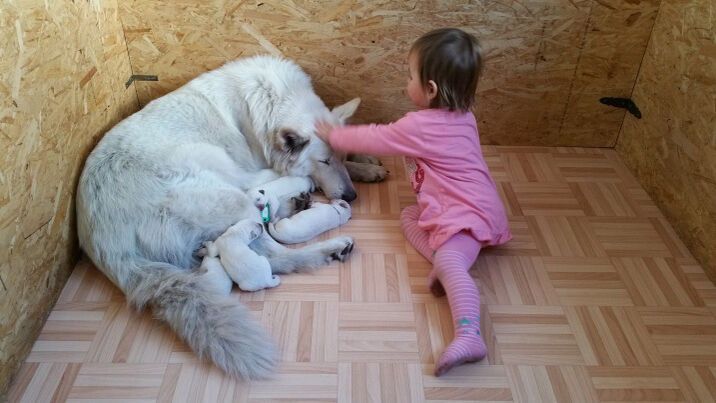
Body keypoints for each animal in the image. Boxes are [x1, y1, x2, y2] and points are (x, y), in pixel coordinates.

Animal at [77, 55, 380, 380]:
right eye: (323, 161)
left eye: (340, 156)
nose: (351, 197)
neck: (274, 102)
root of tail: (110, 248)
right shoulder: (259, 172)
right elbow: (296, 178)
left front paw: (367, 162)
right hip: (234, 199)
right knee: (278, 255)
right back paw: (329, 247)